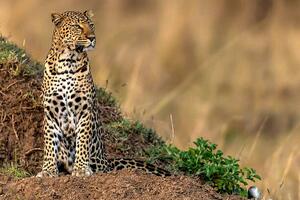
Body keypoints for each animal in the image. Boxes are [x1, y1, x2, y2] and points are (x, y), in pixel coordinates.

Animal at [36, 10, 170, 177]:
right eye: (77, 26)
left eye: (91, 25)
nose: (92, 38)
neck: (67, 62)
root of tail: (107, 161)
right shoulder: (51, 112)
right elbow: (50, 143)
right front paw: (47, 170)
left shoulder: (85, 110)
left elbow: (83, 141)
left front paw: (81, 169)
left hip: (100, 163)